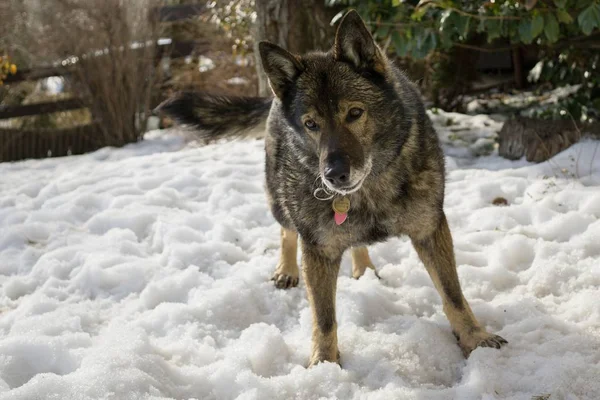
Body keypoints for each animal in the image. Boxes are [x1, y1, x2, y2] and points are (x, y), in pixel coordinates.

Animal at [157, 9, 508, 368]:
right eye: (311, 124)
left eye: (355, 113)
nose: (334, 175)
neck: (369, 189)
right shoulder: (318, 250)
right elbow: (324, 318)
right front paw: (324, 366)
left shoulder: (430, 229)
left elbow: (453, 294)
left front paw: (474, 338)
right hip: (277, 201)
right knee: (286, 232)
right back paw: (287, 270)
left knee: (356, 242)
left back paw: (363, 268)